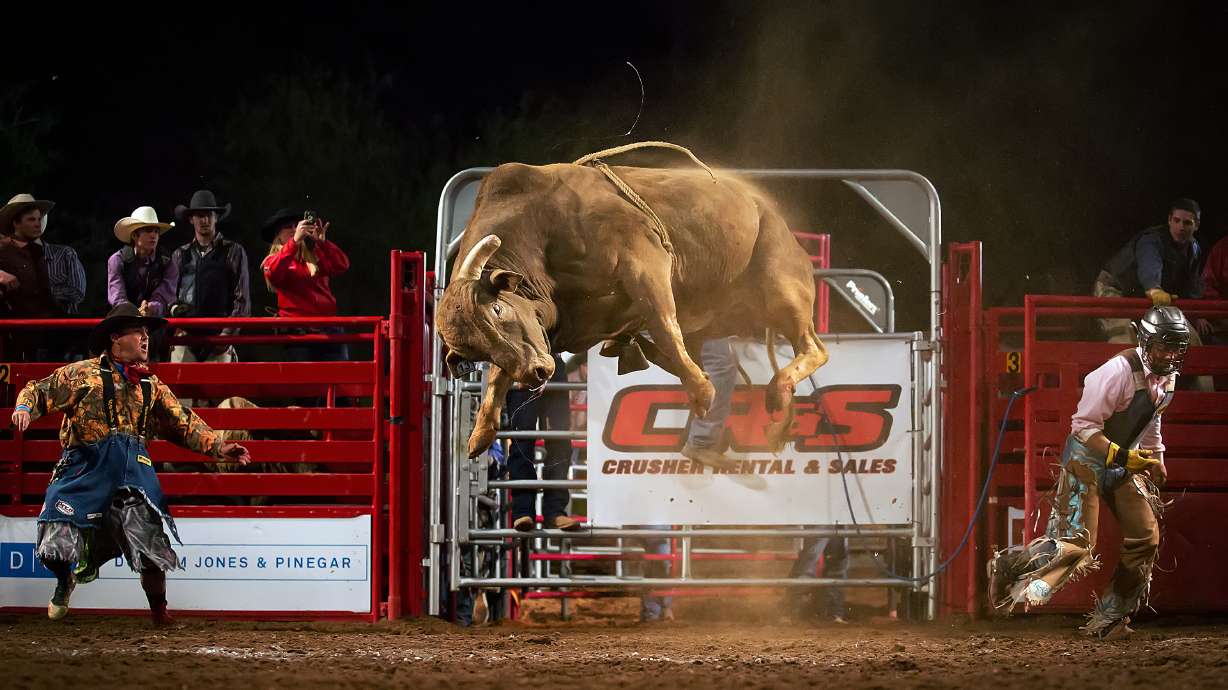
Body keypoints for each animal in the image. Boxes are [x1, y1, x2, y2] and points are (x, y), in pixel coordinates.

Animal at [437, 154, 829, 459]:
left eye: (498, 311)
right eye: (476, 351)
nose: (538, 373)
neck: (541, 227)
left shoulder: (643, 261)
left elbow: (664, 321)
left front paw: (702, 393)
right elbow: (499, 376)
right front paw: (480, 435)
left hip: (782, 287)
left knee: (813, 347)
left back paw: (776, 392)